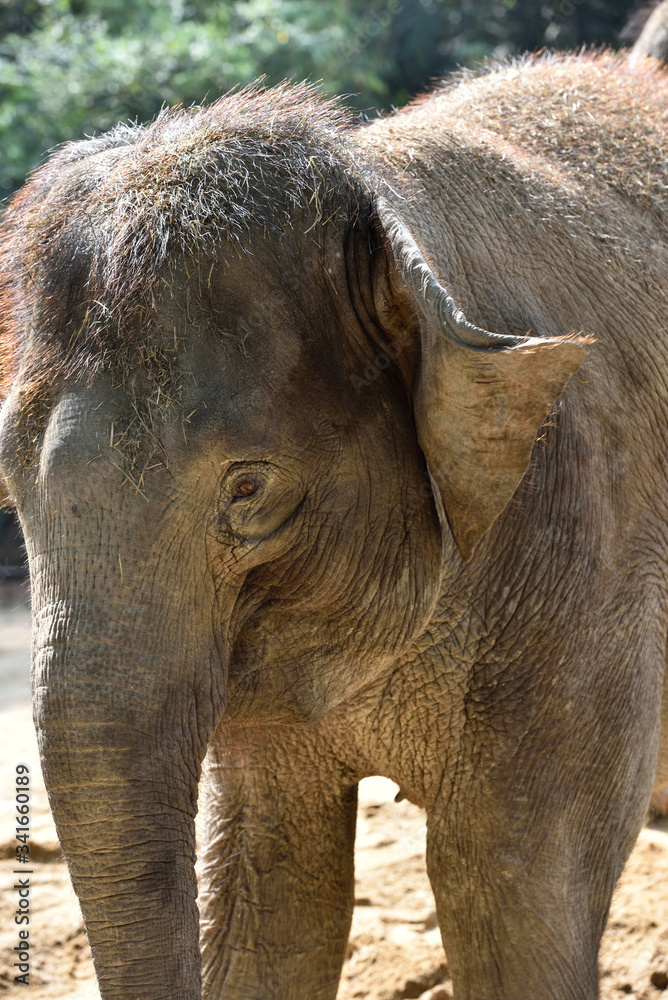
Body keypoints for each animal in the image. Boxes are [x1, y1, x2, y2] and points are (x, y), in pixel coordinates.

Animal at [1, 49, 668, 1000]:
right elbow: (272, 909)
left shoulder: (587, 541)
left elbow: (511, 893)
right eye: (12, 482)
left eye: (248, 490)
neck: (385, 191)